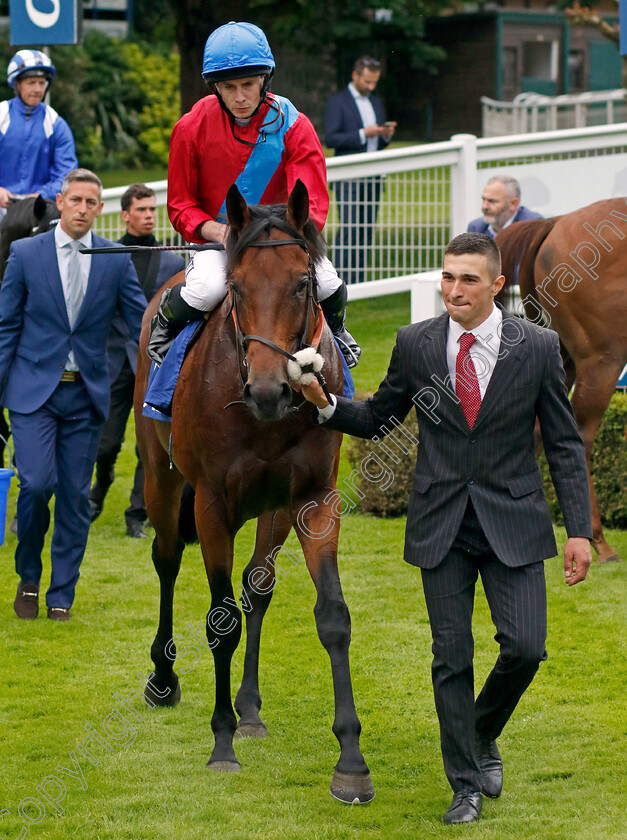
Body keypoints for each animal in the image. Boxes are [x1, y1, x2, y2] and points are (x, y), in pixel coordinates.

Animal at [135, 182, 376, 800]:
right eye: (238, 288)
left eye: (302, 284)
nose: (269, 390)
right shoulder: (211, 505)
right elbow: (221, 622)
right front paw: (221, 745)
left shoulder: (312, 500)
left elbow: (332, 616)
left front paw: (351, 761)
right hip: (161, 479)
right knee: (166, 560)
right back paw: (163, 677)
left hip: (272, 509)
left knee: (257, 587)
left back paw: (249, 709)